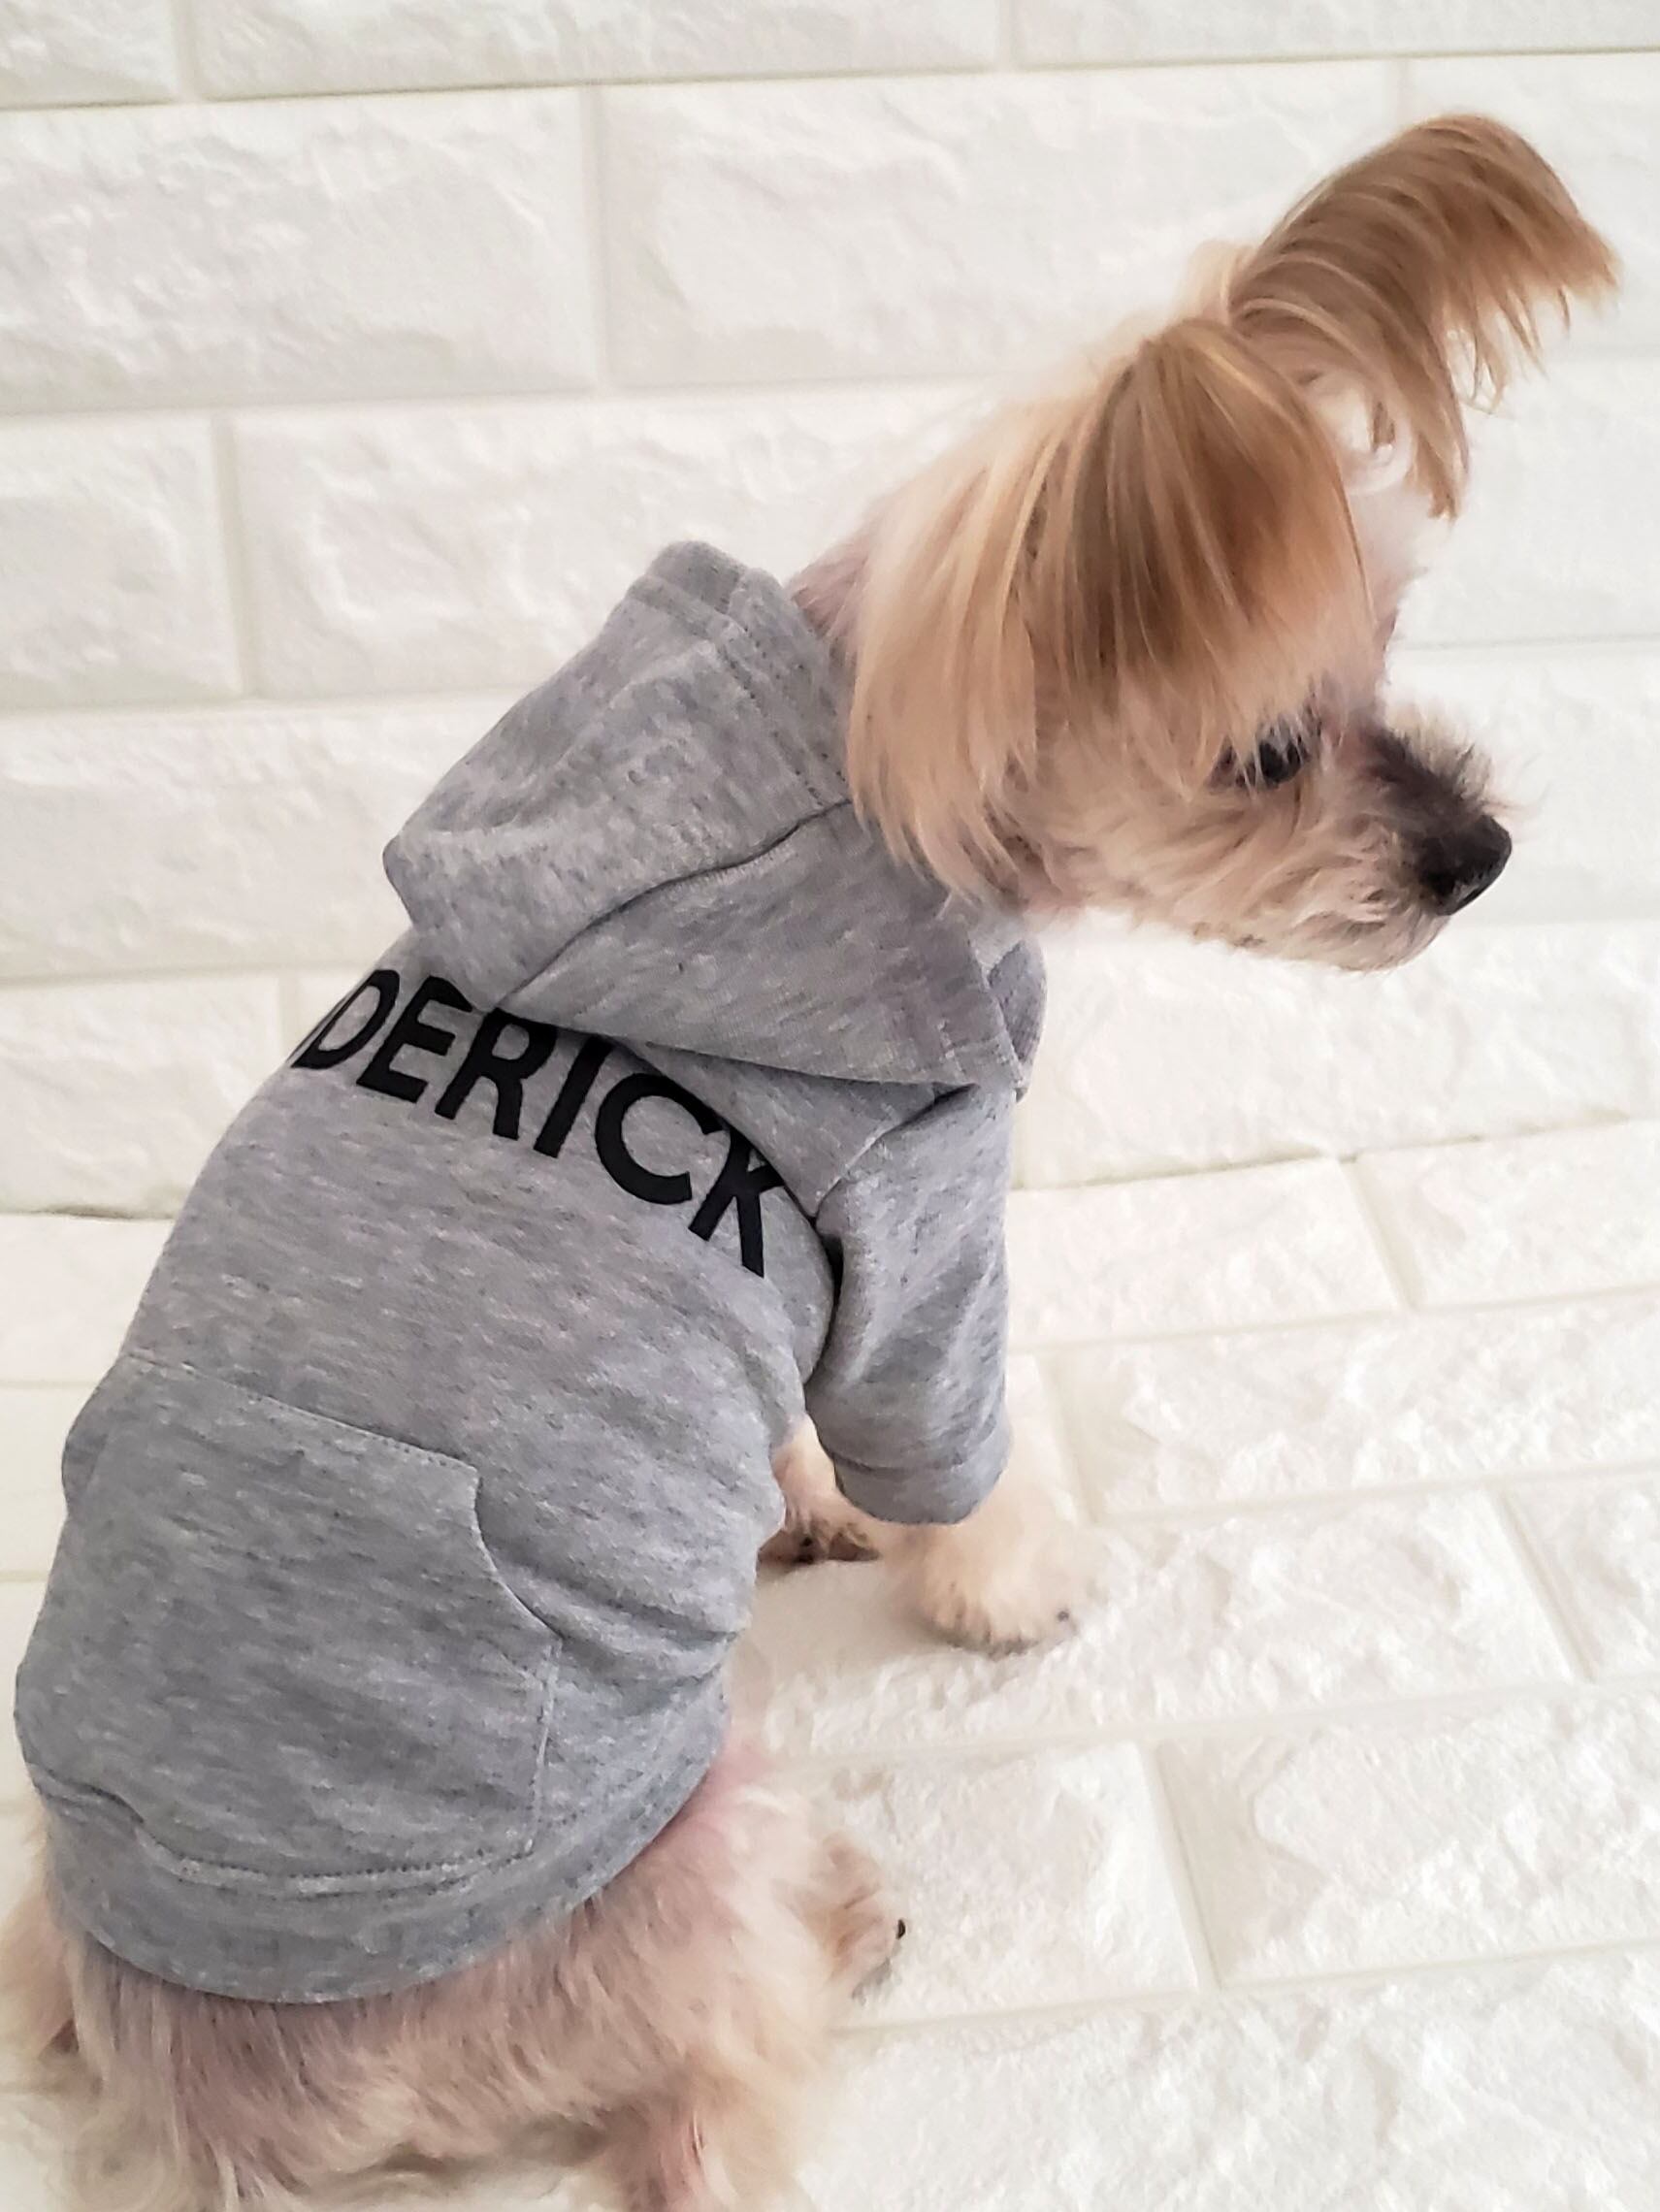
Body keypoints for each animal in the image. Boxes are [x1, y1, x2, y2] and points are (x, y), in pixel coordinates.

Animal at [2, 115, 1613, 2212]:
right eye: (1266, 750)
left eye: (1397, 639)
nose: (1481, 856)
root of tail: (212, 2113)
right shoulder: (919, 1244)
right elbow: (948, 1458)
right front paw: (1005, 1584)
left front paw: (804, 1509)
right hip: (696, 1840)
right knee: (712, 2077)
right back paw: (848, 1920)